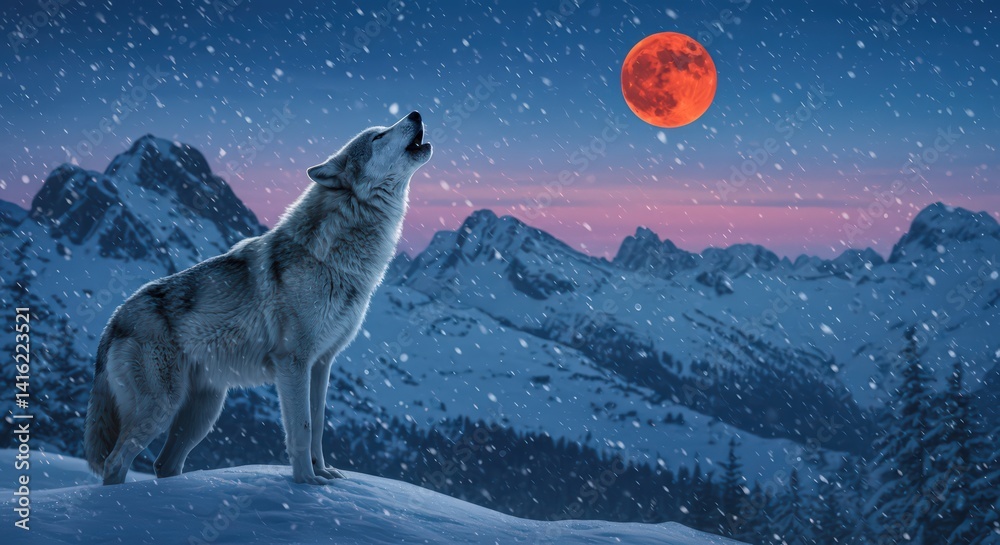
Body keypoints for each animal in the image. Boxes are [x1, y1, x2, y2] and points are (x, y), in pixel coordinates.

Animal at [84, 111, 431, 485]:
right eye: (379, 136)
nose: (415, 113)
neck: (335, 259)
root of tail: (113, 319)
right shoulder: (293, 361)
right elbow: (302, 428)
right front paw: (306, 482)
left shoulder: (321, 364)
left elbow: (319, 426)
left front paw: (323, 474)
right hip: (162, 409)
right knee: (115, 462)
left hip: (203, 413)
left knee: (164, 464)